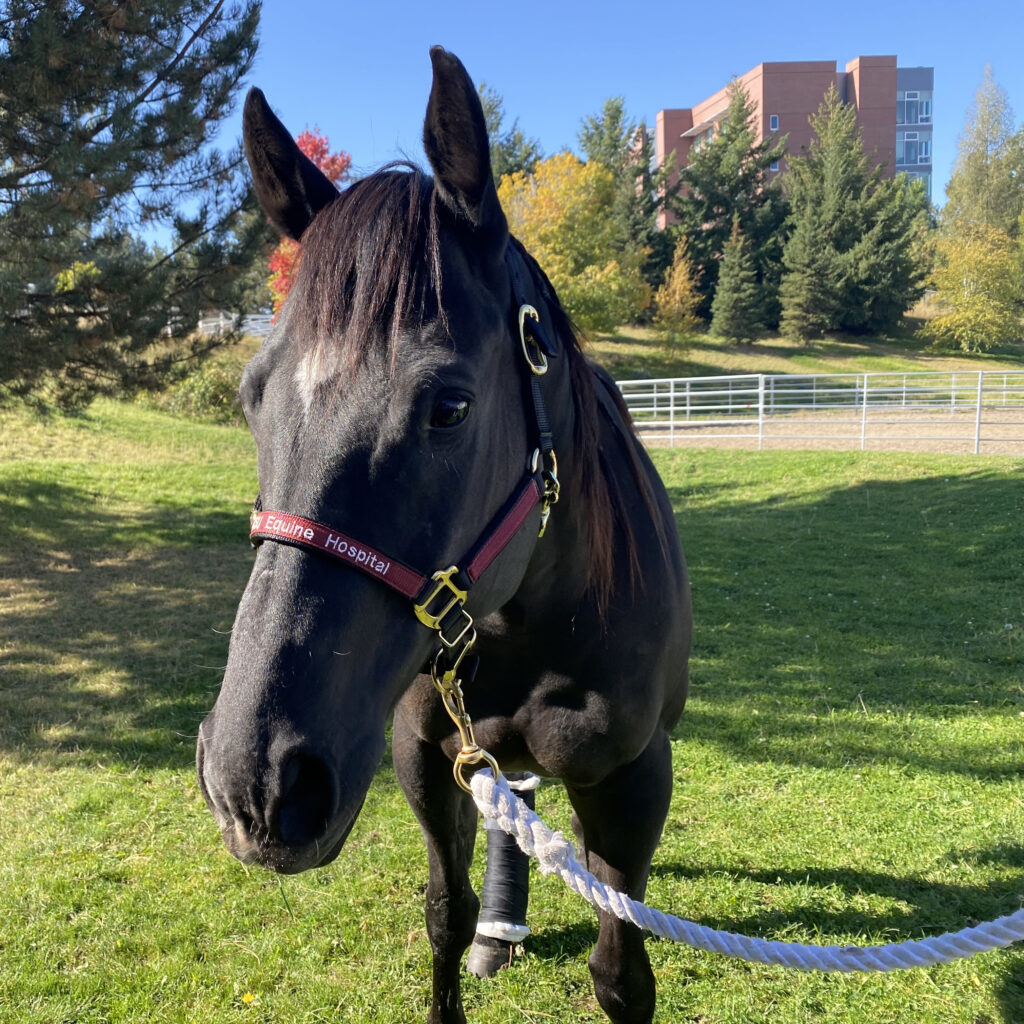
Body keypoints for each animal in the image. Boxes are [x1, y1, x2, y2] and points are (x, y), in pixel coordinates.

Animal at [196, 47, 691, 1024]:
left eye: (450, 407)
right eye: (250, 395)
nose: (256, 782)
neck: (531, 623)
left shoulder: (632, 777)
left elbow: (622, 970)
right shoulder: (423, 755)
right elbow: (445, 915)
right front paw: (480, 929)